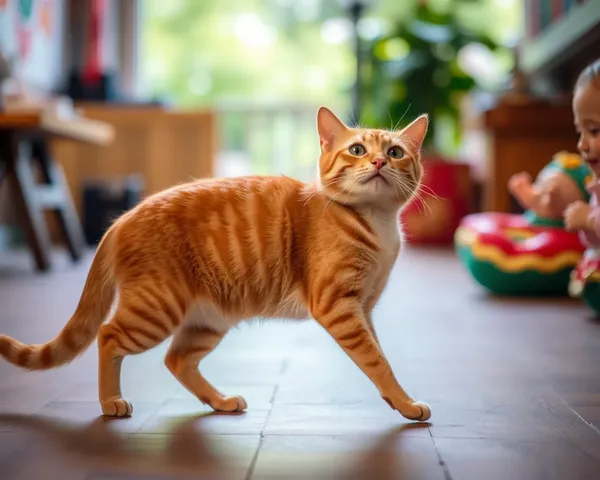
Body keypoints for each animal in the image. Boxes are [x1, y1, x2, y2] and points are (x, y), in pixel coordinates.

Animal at [0, 108, 432, 420]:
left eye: (395, 152)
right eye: (357, 150)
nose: (378, 162)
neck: (376, 224)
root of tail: (120, 220)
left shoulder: (364, 308)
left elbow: (380, 355)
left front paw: (397, 401)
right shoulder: (339, 306)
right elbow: (377, 361)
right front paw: (406, 403)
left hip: (207, 320)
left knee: (176, 360)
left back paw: (220, 401)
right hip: (156, 308)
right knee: (108, 336)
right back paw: (111, 402)